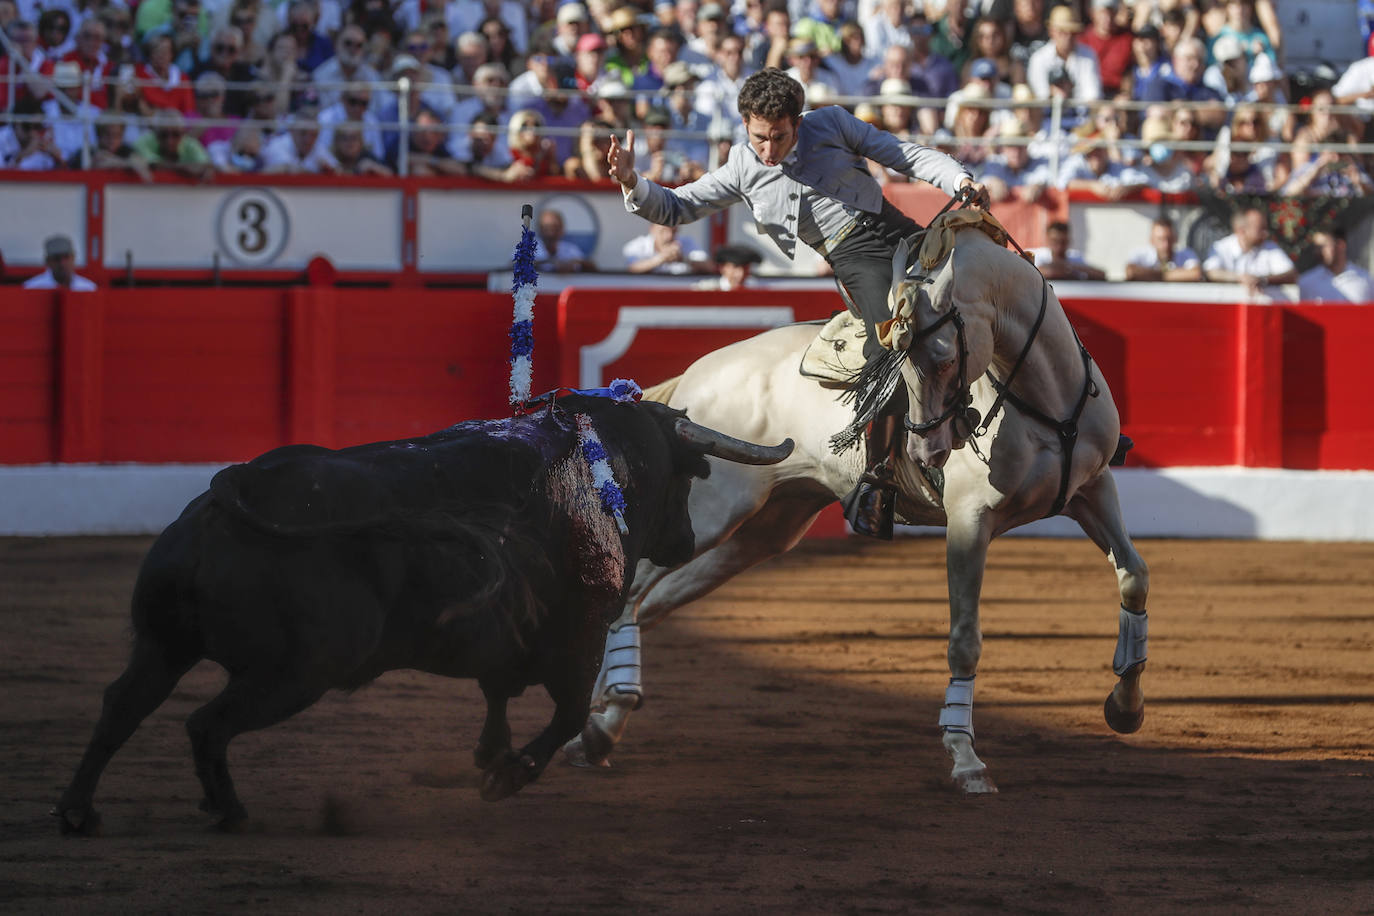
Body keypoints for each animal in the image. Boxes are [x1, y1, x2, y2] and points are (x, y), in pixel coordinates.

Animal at [53, 398, 791, 834]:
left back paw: (79, 811)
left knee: (122, 707)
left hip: (164, 643)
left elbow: (498, 695)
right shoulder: (578, 638)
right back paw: (227, 809)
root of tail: (237, 486)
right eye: (689, 475)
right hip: (294, 675)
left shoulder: (506, 637)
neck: (599, 468)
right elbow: (565, 716)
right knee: (206, 724)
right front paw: (505, 776)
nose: (686, 543)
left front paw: (490, 755)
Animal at [566, 225, 1148, 791]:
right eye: (899, 365)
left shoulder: (1094, 490)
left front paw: (1126, 708)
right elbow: (964, 638)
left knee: (656, 601)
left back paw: (596, 724)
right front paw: (965, 759)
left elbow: (1134, 578)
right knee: (633, 591)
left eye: (944, 358)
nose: (926, 452)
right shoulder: (969, 521)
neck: (1043, 403)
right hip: (713, 511)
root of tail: (694, 378)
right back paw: (599, 717)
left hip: (768, 529)